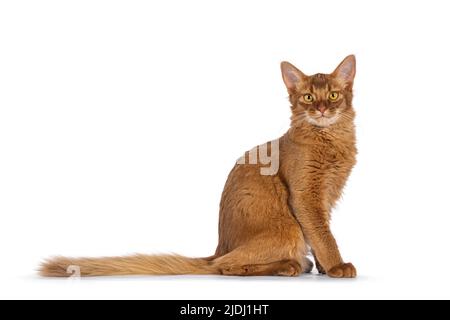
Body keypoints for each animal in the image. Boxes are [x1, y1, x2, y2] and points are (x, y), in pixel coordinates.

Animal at [40, 54, 356, 278]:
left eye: (332, 95)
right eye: (308, 97)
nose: (322, 110)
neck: (329, 138)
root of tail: (218, 247)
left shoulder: (324, 199)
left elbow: (319, 235)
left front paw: (326, 268)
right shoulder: (305, 198)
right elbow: (323, 236)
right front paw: (337, 266)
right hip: (286, 228)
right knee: (224, 266)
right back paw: (287, 265)